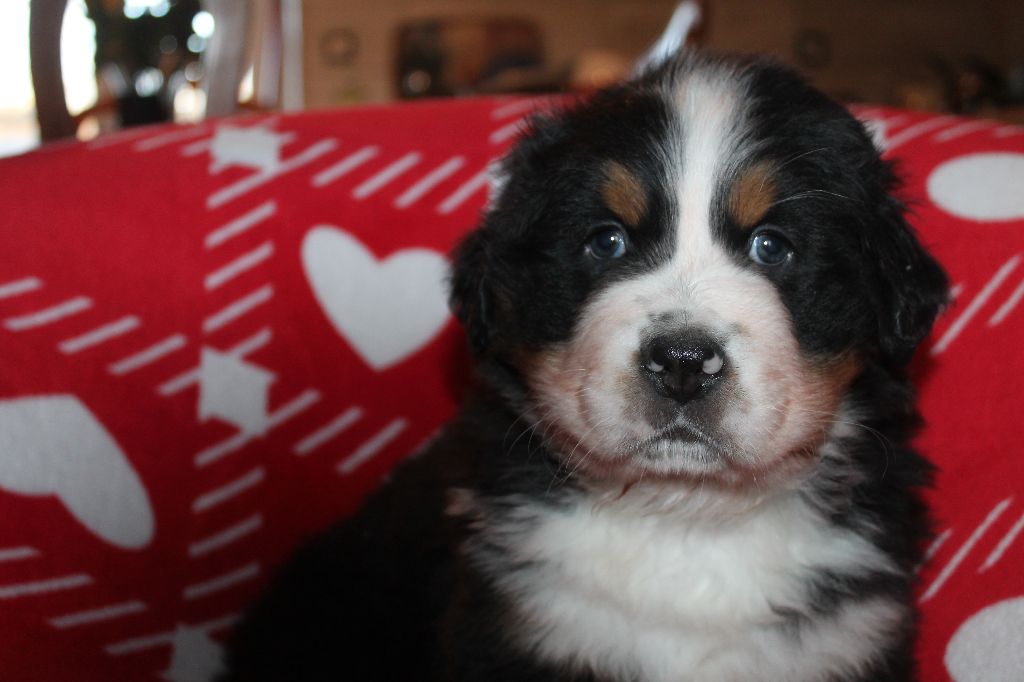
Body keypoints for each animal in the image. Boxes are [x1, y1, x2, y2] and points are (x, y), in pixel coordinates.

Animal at [220, 51, 946, 679]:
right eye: (607, 241)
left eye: (773, 246)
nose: (683, 362)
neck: (686, 518)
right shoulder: (518, 627)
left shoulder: (851, 636)